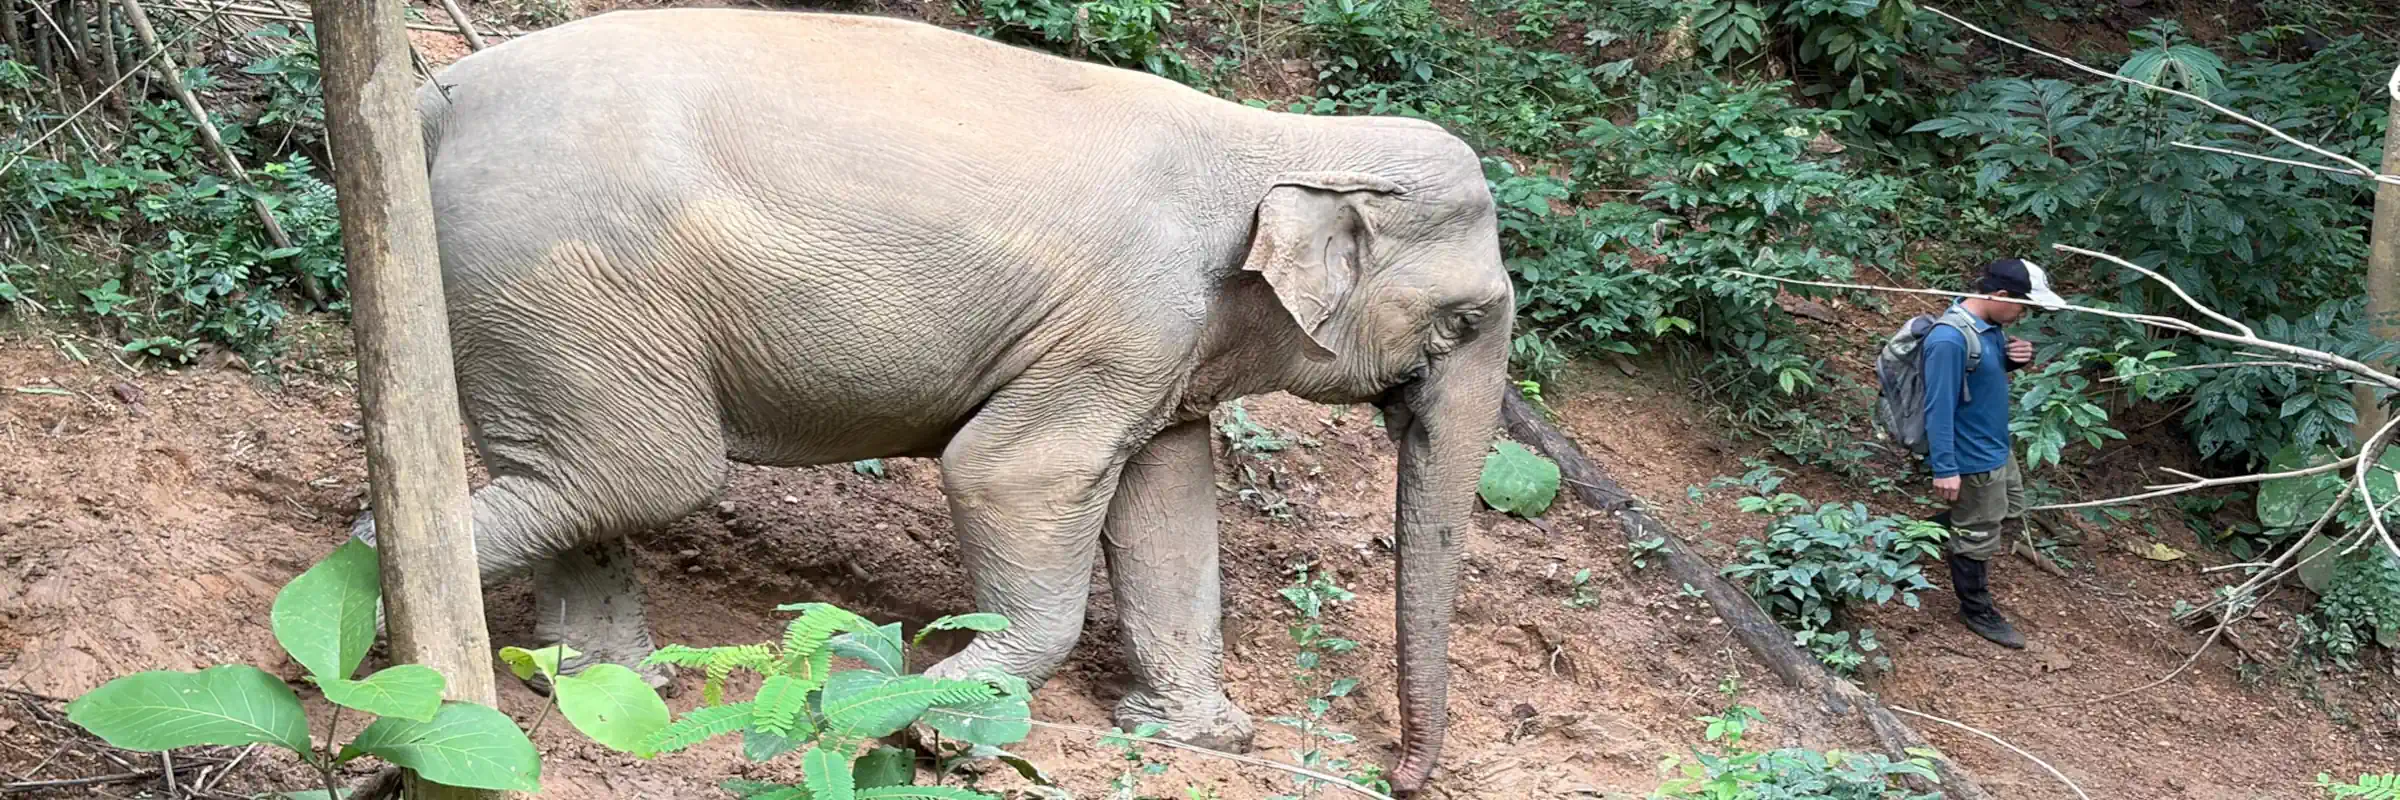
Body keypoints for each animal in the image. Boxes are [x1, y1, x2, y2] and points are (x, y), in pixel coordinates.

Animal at [347, 7, 1513, 794]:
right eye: (1461, 323)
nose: (1401, 773)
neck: (1277, 134)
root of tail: (438, 95)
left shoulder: (1163, 353)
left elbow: (1170, 510)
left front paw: (1196, 736)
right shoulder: (1121, 323)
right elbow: (1007, 473)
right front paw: (942, 709)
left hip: (546, 301)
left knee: (590, 476)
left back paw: (601, 682)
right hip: (564, 272)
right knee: (645, 472)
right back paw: (379, 622)